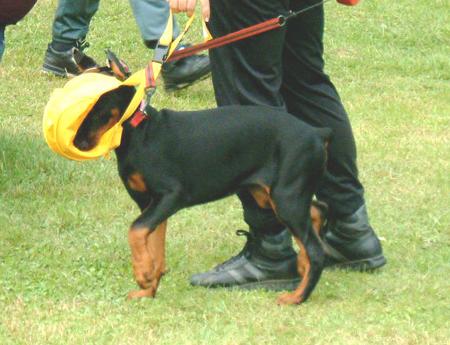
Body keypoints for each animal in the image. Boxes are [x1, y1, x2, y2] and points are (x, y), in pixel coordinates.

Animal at [73, 58, 330, 304]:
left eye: (95, 109)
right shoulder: (150, 204)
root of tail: (317, 134)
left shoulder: (171, 195)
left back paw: (297, 297)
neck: (139, 132)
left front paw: (142, 273)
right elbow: (154, 247)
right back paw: (302, 264)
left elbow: (135, 230)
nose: (78, 143)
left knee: (317, 250)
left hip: (285, 198)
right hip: (270, 195)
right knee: (319, 210)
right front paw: (147, 289)